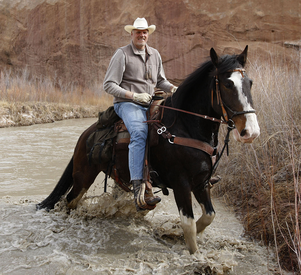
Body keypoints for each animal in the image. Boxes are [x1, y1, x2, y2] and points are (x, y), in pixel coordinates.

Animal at [36, 45, 258, 254]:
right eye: (228, 84)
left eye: (250, 83)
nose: (251, 131)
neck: (185, 127)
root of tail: (84, 135)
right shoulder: (181, 183)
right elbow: (189, 224)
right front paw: (194, 254)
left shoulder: (201, 182)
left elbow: (208, 216)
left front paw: (179, 237)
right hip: (83, 177)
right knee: (70, 200)